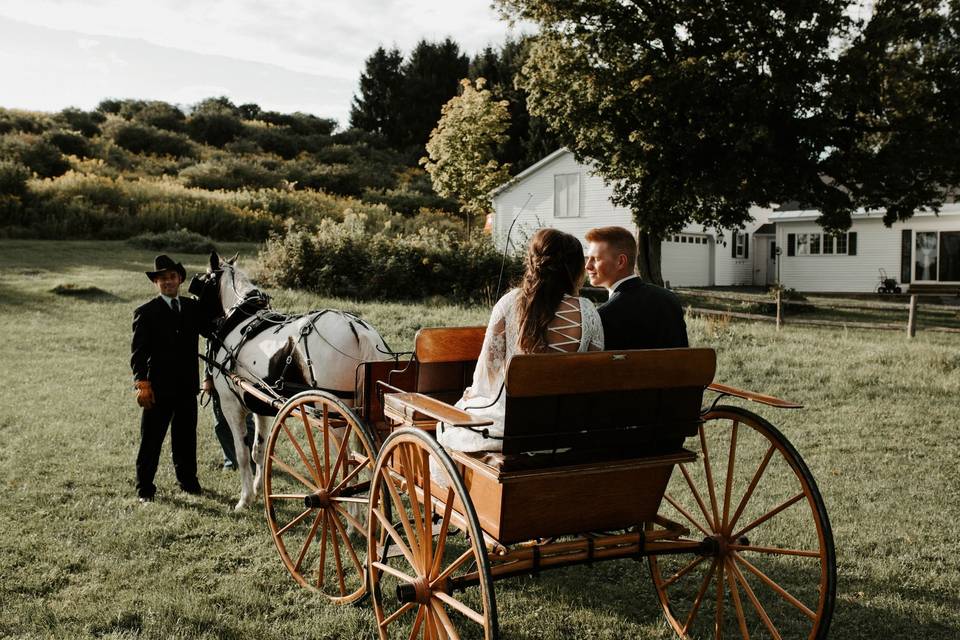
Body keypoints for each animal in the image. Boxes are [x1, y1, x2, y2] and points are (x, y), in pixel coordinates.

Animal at [193, 252, 392, 508]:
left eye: (202, 282)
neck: (239, 321)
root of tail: (360, 331)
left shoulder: (232, 406)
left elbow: (242, 453)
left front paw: (245, 499)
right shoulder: (259, 405)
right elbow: (258, 450)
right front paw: (258, 488)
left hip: (337, 418)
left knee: (348, 465)